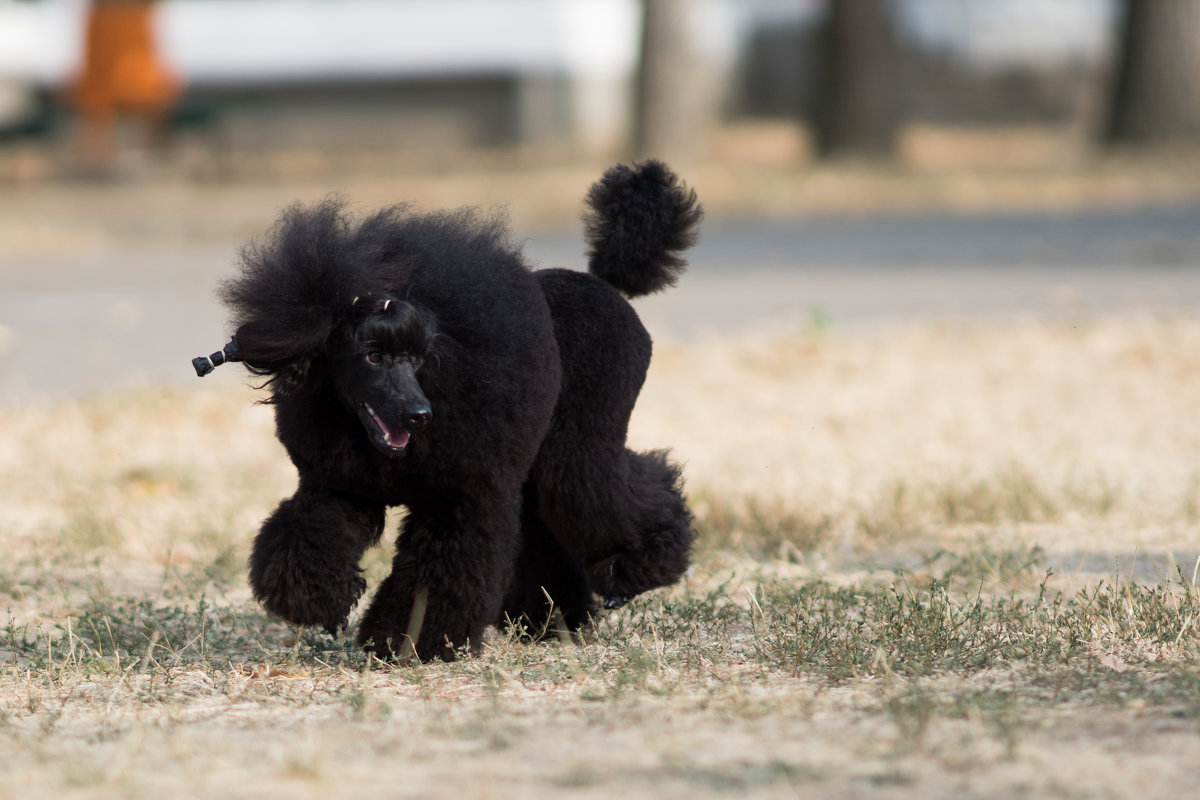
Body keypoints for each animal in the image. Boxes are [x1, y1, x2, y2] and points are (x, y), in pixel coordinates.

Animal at [195, 159, 700, 662]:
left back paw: (631, 572)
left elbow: (439, 573)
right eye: (372, 356)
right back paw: (552, 621)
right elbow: (311, 538)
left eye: (420, 357)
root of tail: (605, 282)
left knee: (603, 493)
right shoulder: (337, 485)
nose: (419, 414)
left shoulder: (463, 494)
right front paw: (319, 605)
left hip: (579, 444)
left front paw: (414, 643)